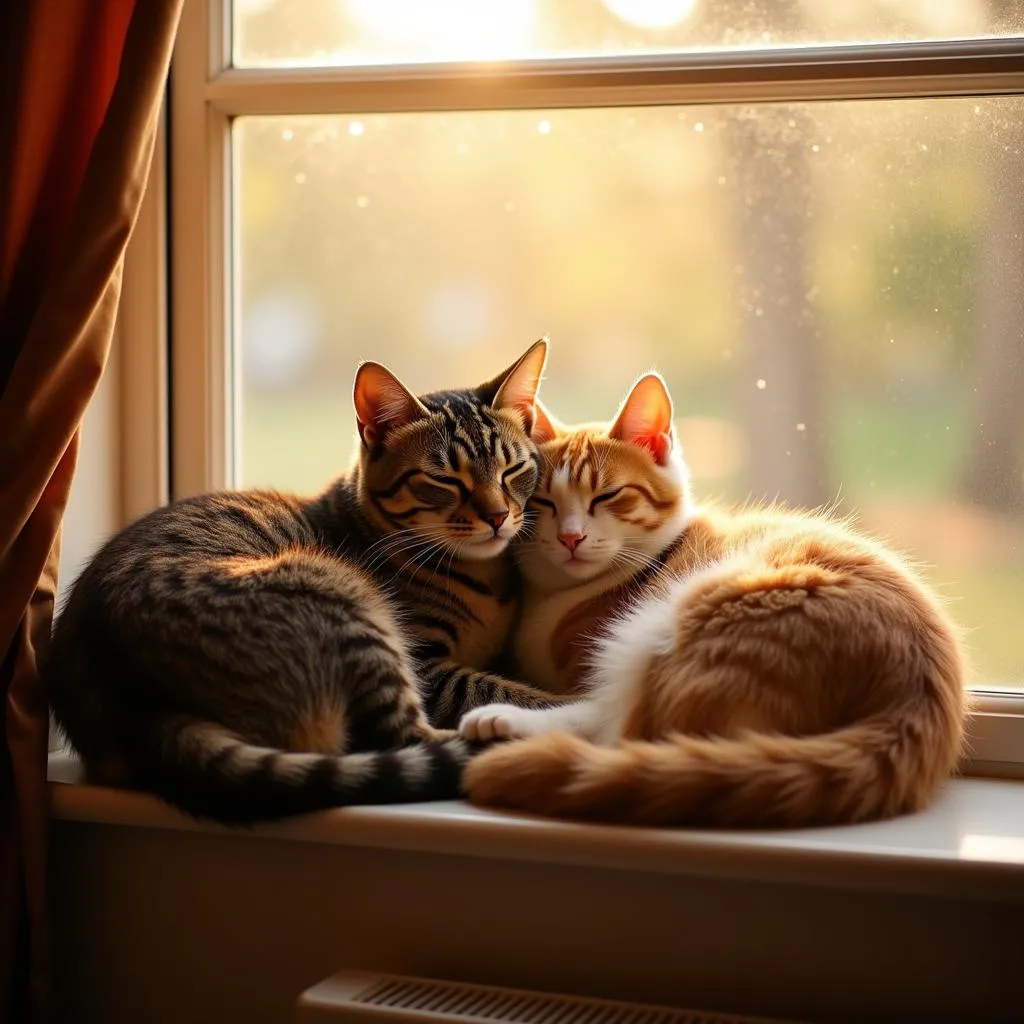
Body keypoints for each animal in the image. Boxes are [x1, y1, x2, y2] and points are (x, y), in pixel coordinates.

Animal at [46, 342, 561, 823]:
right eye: (444, 479)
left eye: (514, 470)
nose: (497, 516)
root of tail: (143, 709)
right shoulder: (431, 668)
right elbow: (506, 692)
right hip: (342, 597)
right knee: (407, 737)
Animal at [462, 372, 966, 827]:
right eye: (543, 503)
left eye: (607, 496)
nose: (571, 538)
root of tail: (915, 700)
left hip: (680, 620)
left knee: (623, 729)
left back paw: (503, 720)